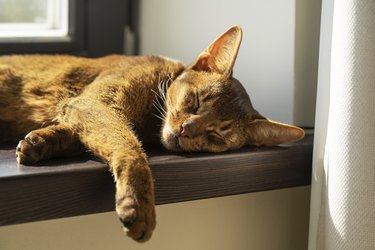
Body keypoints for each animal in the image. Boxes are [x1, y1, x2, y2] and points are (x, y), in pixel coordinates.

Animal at [0, 26, 304, 242]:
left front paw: (40, 142)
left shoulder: (82, 108)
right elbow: (130, 146)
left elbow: (80, 134)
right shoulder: (91, 103)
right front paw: (137, 204)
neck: (148, 122)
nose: (185, 130)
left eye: (216, 136)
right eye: (195, 101)